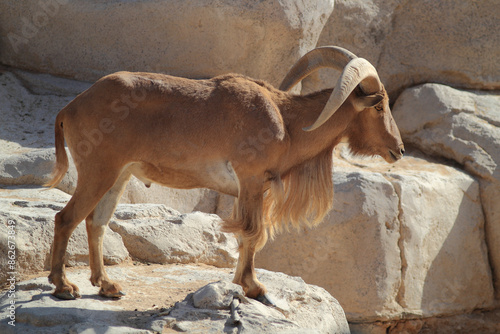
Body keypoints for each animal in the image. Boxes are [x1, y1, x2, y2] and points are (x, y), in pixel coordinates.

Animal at [45, 45, 404, 304]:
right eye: (378, 106)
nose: (399, 149)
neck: (287, 122)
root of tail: (70, 108)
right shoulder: (252, 180)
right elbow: (253, 232)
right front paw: (253, 287)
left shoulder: (251, 189)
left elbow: (248, 235)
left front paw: (244, 284)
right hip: (98, 171)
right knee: (66, 218)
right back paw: (63, 286)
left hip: (118, 175)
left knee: (96, 222)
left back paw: (107, 285)